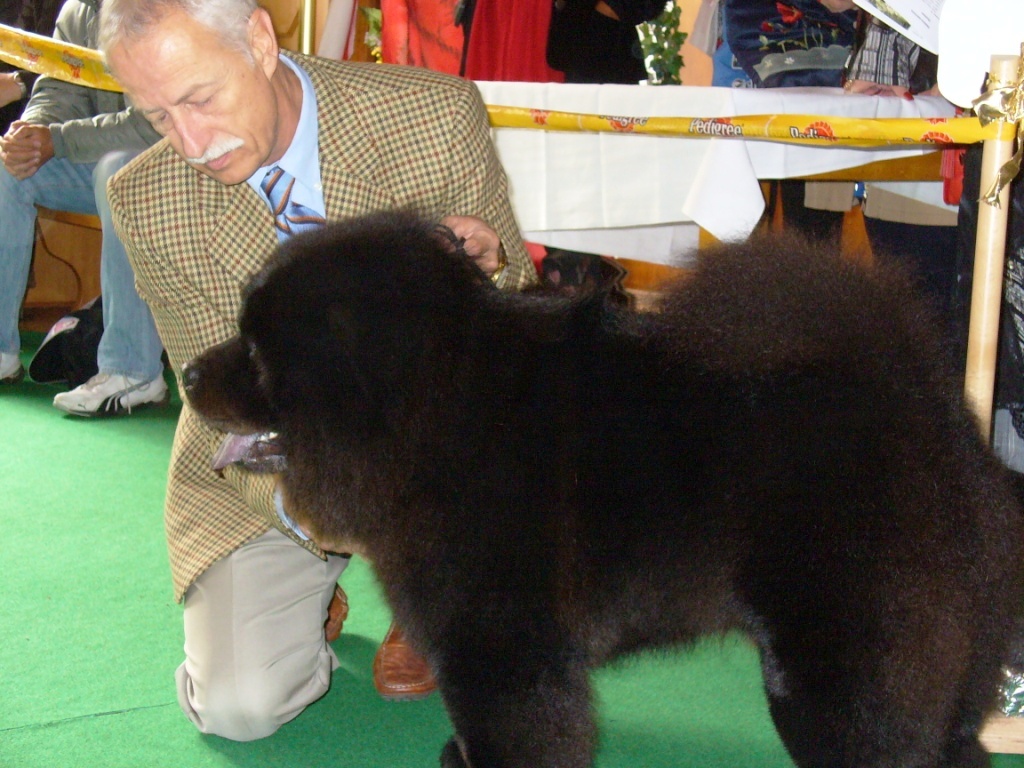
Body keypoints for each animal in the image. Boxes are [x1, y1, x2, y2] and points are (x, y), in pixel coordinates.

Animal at [183, 209, 1024, 768]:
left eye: (256, 350)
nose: (187, 371)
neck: (435, 411)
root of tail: (927, 404)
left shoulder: (501, 651)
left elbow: (514, 739)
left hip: (839, 674)